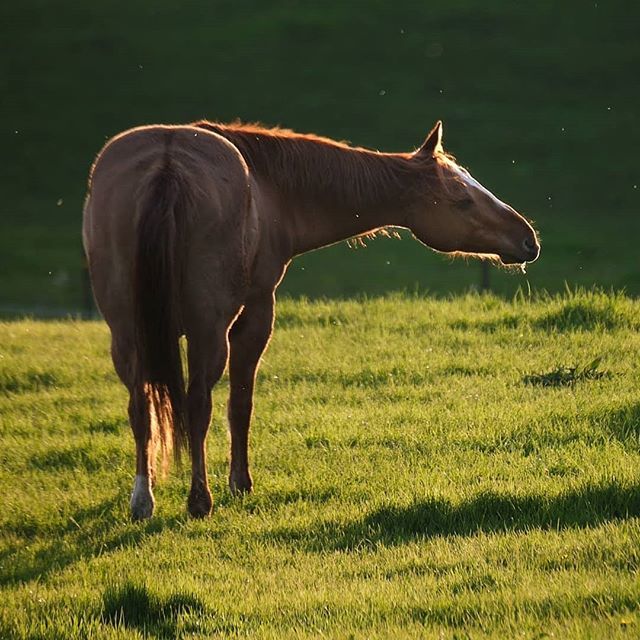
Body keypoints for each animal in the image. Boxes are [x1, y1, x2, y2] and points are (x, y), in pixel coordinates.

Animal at [82, 120, 540, 520]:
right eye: (463, 199)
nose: (528, 238)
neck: (268, 188)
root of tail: (168, 164)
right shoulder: (255, 314)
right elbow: (240, 403)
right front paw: (240, 482)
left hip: (127, 333)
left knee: (139, 406)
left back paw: (143, 500)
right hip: (207, 331)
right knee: (197, 404)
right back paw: (199, 500)